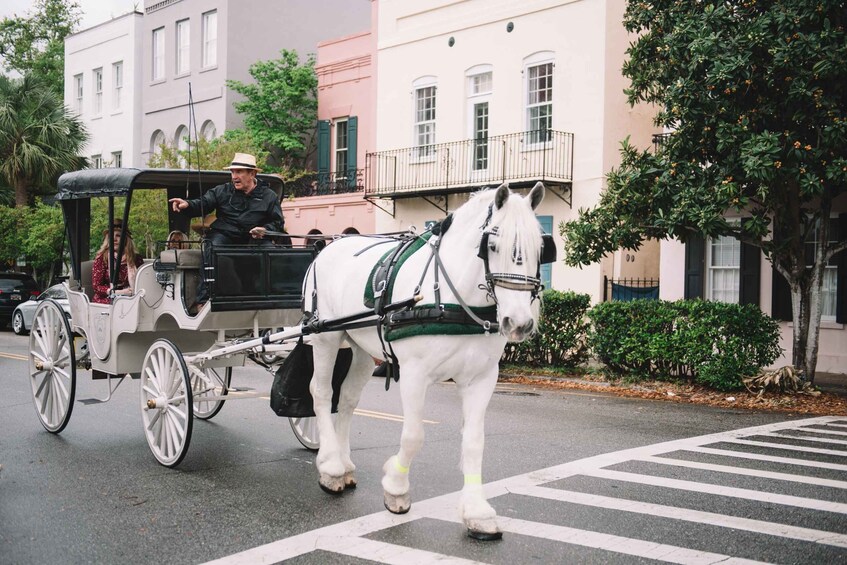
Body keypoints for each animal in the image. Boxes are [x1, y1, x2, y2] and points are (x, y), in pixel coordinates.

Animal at [302, 182, 548, 536]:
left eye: (541, 248)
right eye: (493, 245)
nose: (519, 323)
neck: (449, 297)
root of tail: (328, 247)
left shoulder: (482, 378)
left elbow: (474, 441)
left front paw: (477, 511)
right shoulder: (414, 373)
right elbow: (414, 435)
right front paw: (395, 487)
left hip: (362, 348)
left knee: (346, 399)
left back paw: (343, 463)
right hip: (325, 337)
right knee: (321, 394)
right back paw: (331, 466)